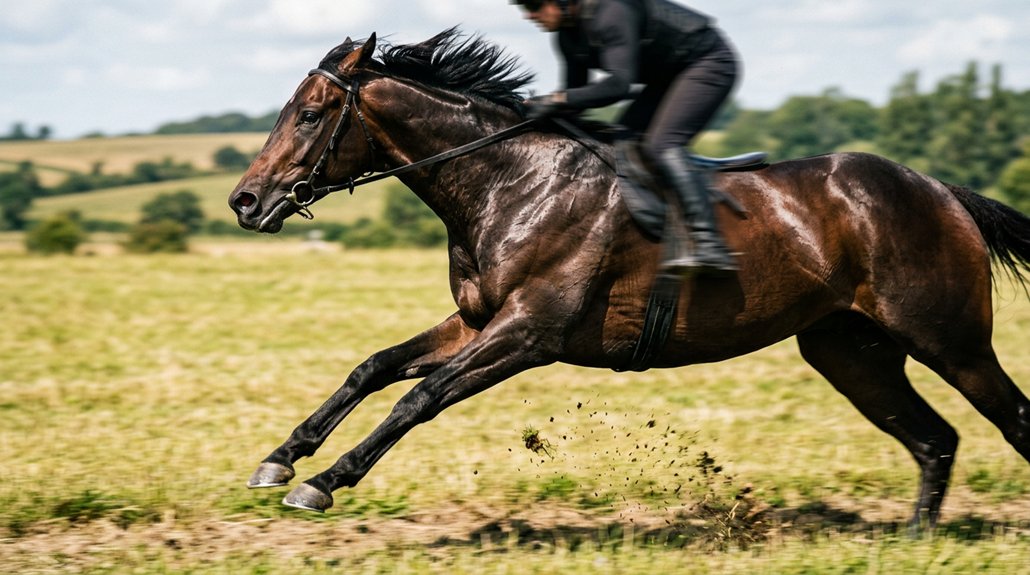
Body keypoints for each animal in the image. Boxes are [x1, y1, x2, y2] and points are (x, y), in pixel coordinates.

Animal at [228, 29, 1030, 529]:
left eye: (311, 114)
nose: (245, 200)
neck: (510, 182)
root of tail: (941, 190)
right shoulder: (479, 320)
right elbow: (373, 368)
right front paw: (280, 459)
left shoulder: (529, 332)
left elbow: (419, 396)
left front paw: (324, 482)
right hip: (849, 350)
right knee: (935, 439)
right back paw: (914, 535)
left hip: (950, 339)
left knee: (1010, 418)